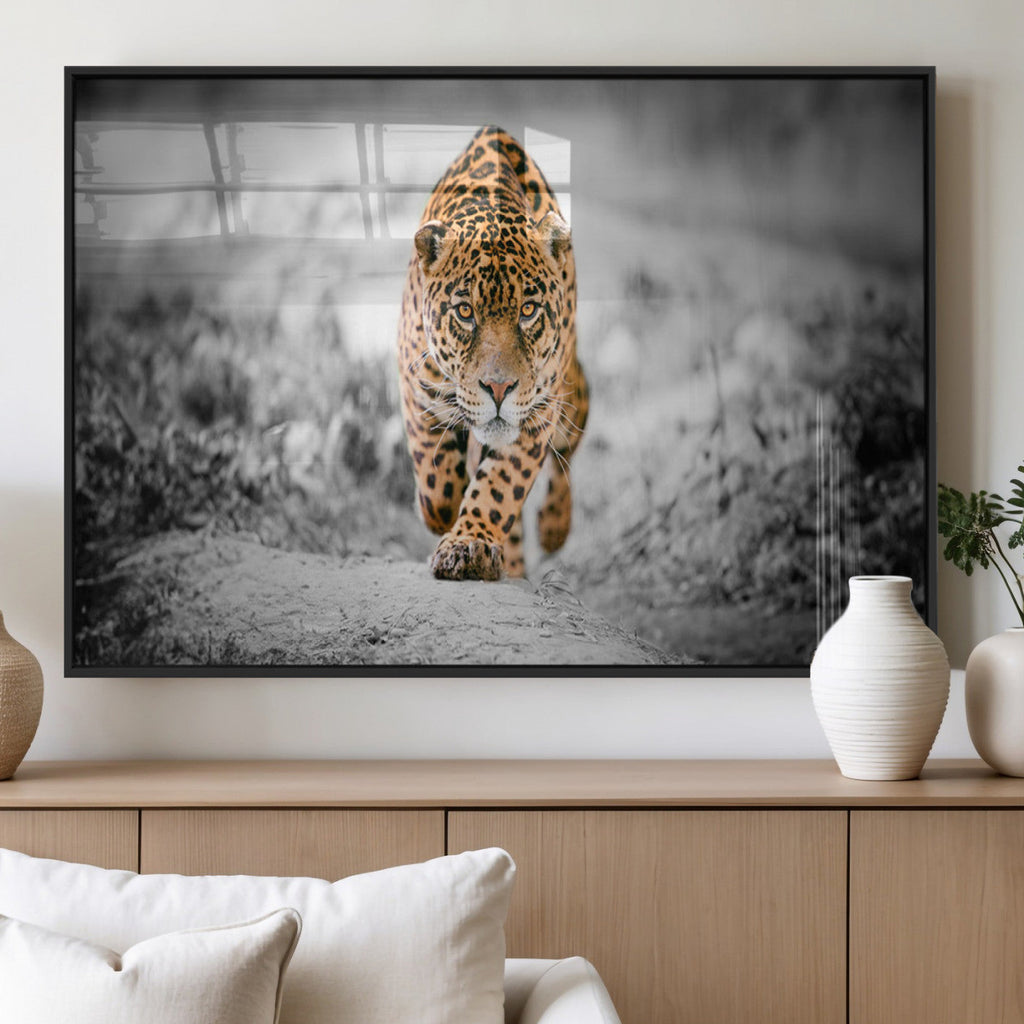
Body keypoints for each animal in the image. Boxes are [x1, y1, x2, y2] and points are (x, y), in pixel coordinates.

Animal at [396, 125, 589, 581]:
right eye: (465, 312)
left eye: (528, 310)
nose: (499, 389)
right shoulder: (416, 386)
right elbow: (436, 479)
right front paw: (442, 516)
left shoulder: (538, 412)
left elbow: (500, 486)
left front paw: (469, 544)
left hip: (572, 394)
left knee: (567, 453)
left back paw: (553, 528)